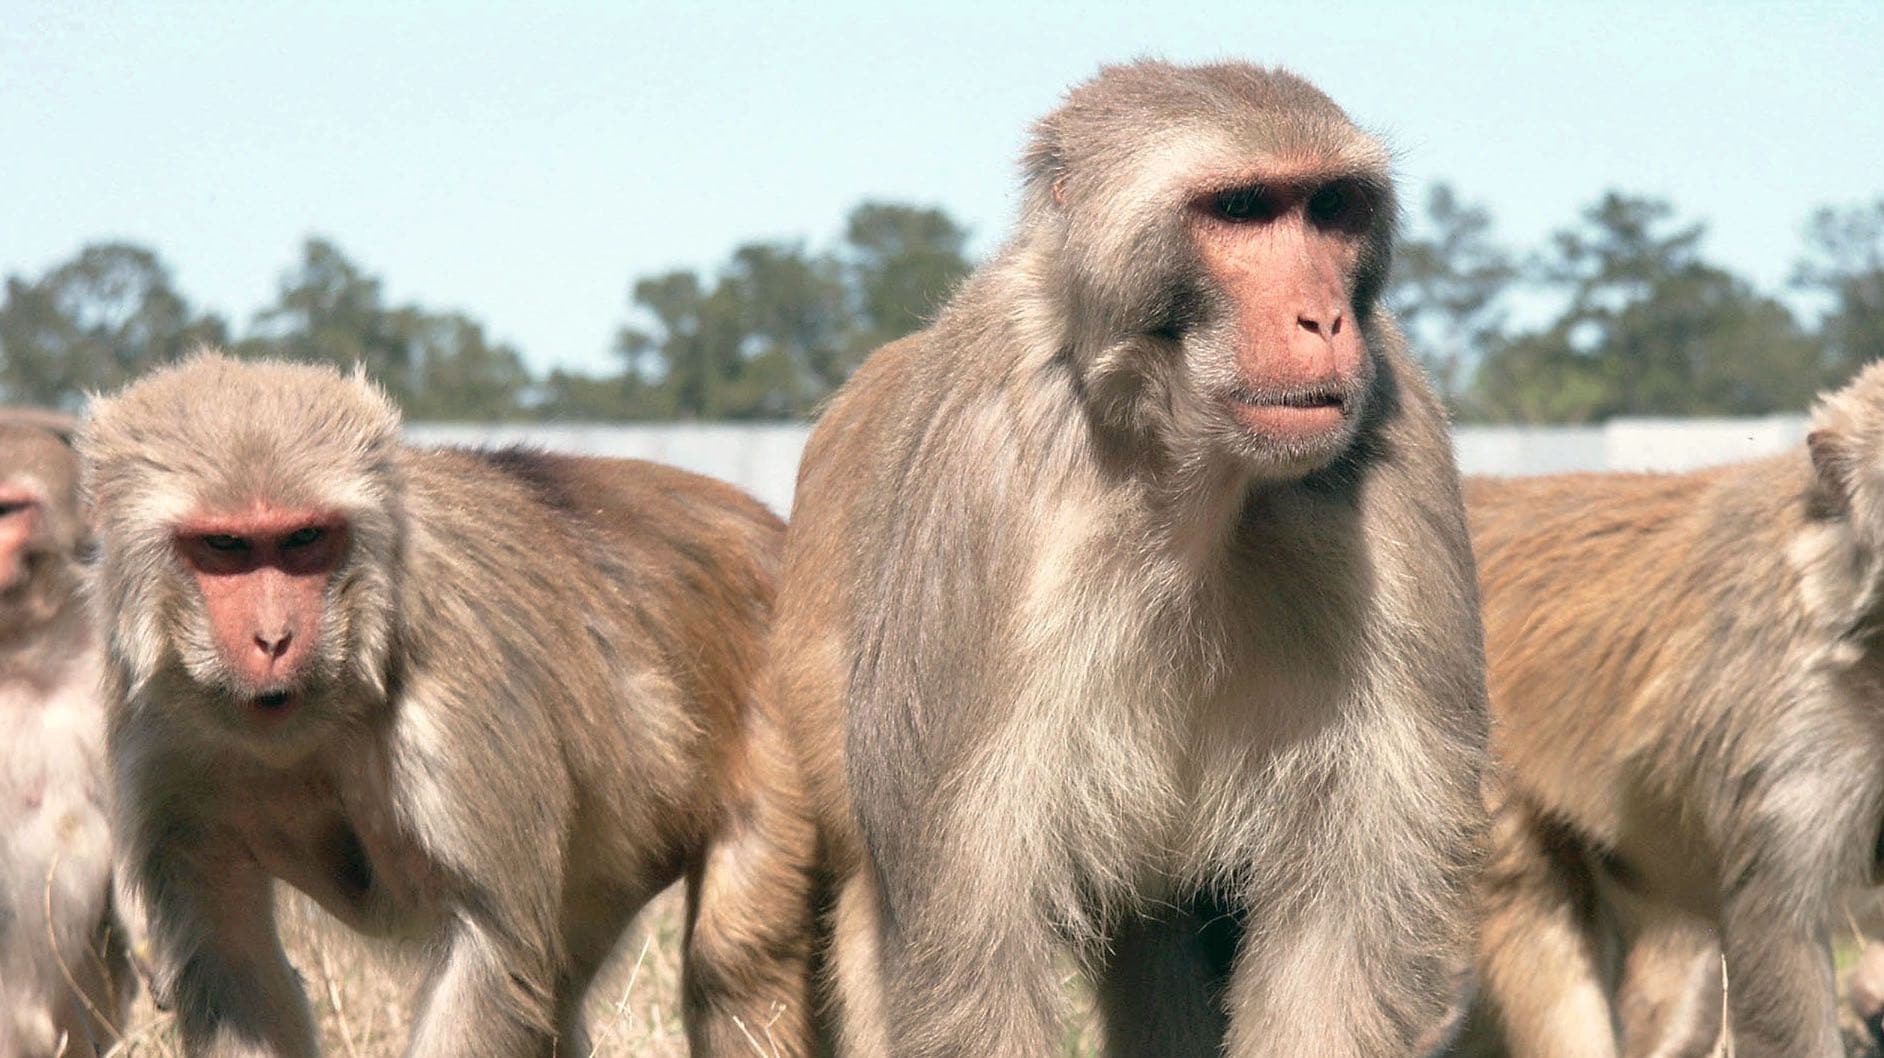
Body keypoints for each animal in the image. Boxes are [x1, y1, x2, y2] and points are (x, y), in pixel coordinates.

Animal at [78, 352, 819, 1058]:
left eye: (303, 541)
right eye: (226, 547)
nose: (273, 638)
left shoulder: (459, 702)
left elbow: (493, 954)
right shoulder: (162, 733)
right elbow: (230, 964)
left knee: (732, 965)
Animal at [764, 60, 1490, 1057]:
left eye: (1330, 207)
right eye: (1240, 209)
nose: (1326, 319)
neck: (1191, 479)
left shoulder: (1396, 437)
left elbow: (1348, 927)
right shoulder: (988, 480)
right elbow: (973, 940)